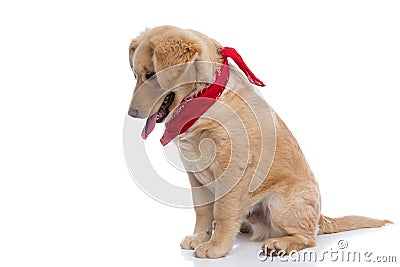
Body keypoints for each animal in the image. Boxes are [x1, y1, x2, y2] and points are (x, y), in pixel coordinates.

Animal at [127, 25, 390, 260]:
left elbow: (223, 210)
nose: (131, 114)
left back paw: (278, 244)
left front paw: (216, 247)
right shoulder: (194, 173)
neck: (207, 96)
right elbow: (202, 210)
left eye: (151, 75)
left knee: (308, 237)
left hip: (283, 202)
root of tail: (320, 216)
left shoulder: (232, 168)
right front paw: (200, 238)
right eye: (137, 75)